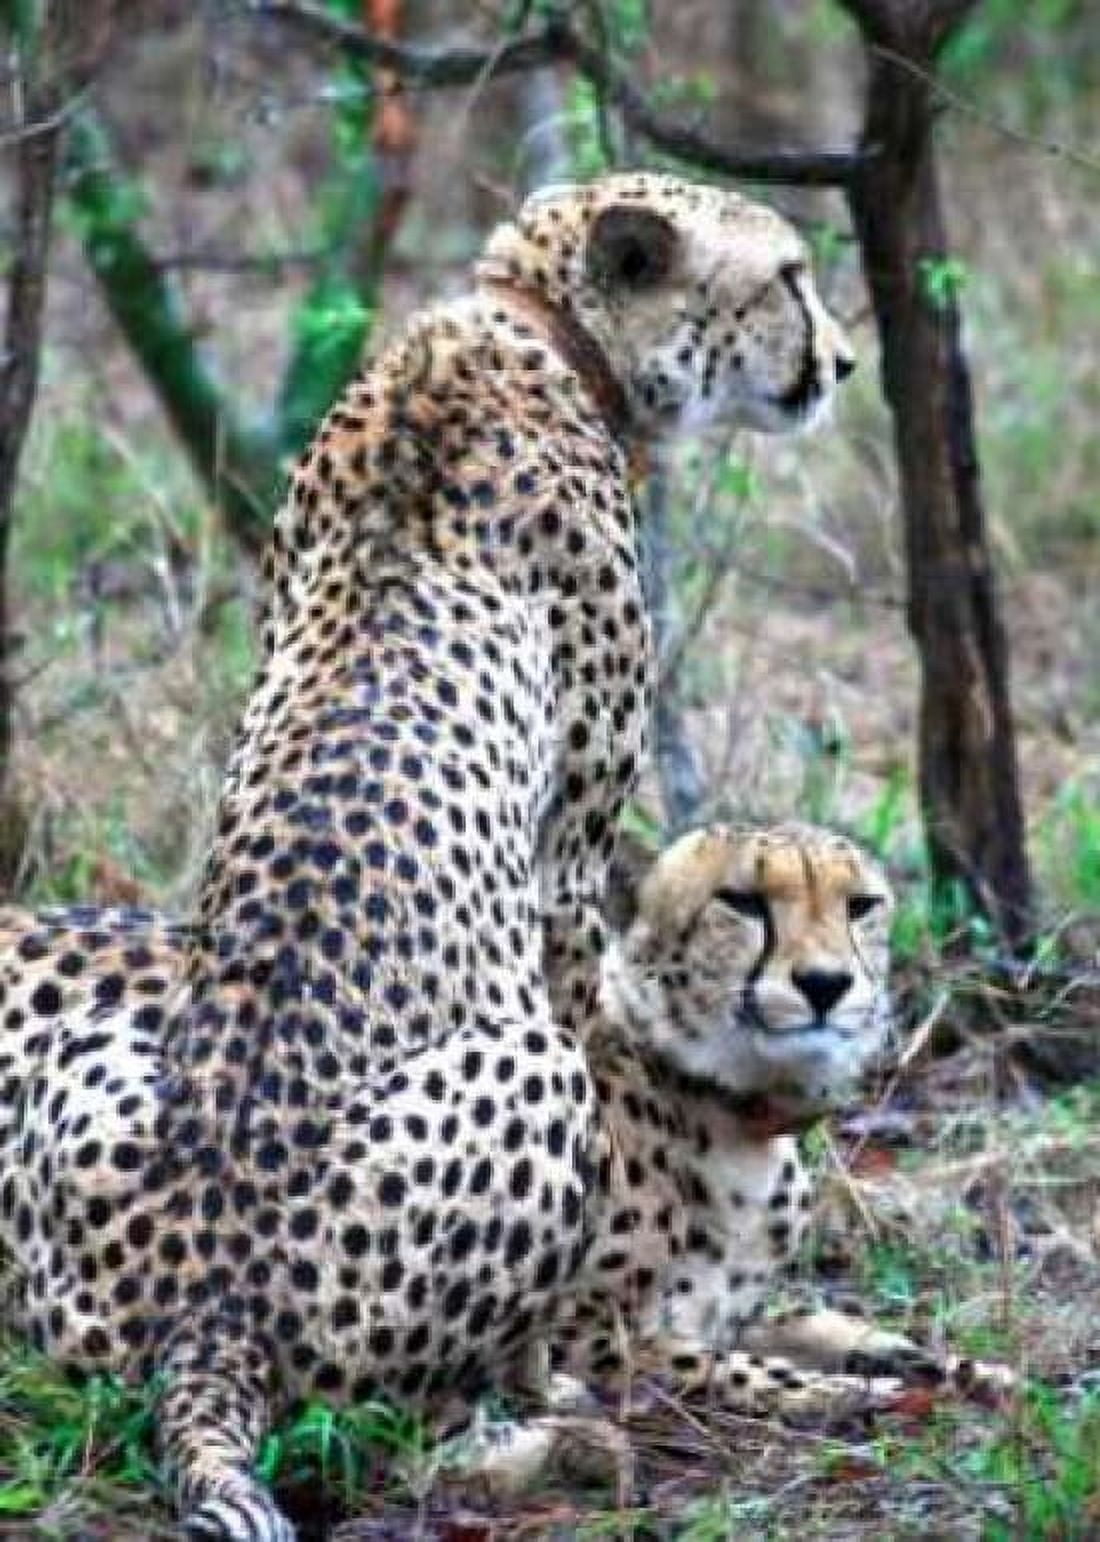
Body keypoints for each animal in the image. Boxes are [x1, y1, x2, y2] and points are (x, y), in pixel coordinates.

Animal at [0, 172, 855, 1540]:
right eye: (784, 276)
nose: (840, 361)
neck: (533, 324)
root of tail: (204, 1308)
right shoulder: (567, 864)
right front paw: (574, 1350)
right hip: (521, 1083)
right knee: (396, 1429)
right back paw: (556, 1435)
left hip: (92, 1051)